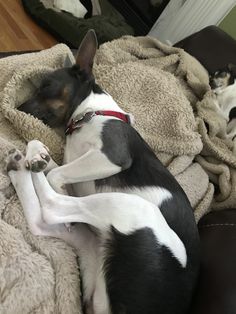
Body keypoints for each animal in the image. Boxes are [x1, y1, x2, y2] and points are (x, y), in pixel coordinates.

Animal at [6, 30, 199, 314]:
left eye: (47, 85)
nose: (17, 110)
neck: (90, 114)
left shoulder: (111, 156)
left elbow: (56, 176)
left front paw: (45, 168)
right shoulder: (76, 165)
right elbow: (54, 167)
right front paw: (37, 154)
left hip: (136, 211)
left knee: (51, 207)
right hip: (93, 244)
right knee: (41, 221)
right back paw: (20, 166)